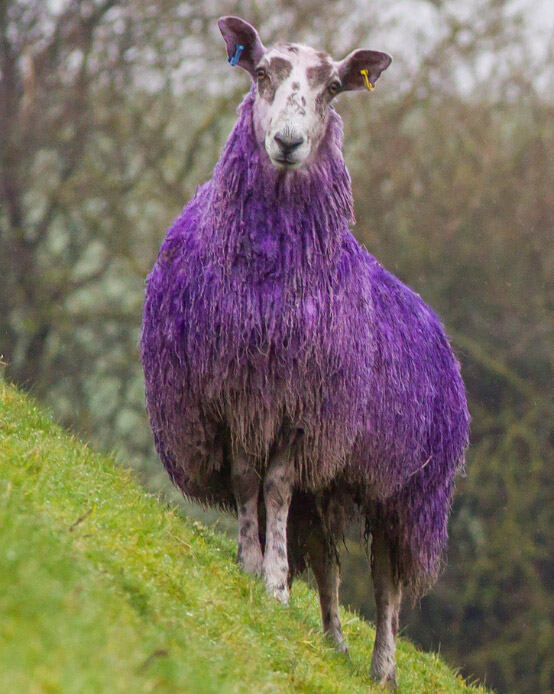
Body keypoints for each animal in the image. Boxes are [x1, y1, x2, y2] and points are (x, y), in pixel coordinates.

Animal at [141, 16, 470, 689]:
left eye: (333, 88)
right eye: (263, 73)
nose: (288, 142)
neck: (268, 279)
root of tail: (435, 325)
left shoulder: (301, 409)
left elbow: (276, 486)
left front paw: (272, 586)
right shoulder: (234, 397)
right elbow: (248, 485)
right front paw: (250, 563)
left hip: (405, 490)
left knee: (388, 581)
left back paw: (382, 666)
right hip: (337, 478)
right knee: (327, 561)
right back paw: (333, 639)